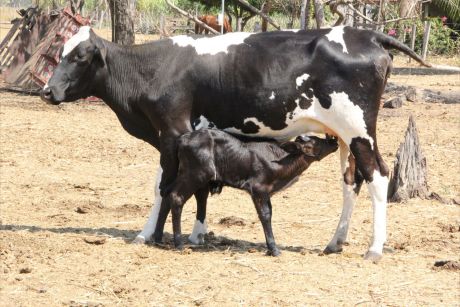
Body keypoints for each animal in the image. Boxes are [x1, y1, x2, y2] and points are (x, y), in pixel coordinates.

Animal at [41, 25, 430, 260]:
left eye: (79, 56)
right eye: (60, 52)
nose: (47, 91)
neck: (149, 69)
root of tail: (366, 34)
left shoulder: (171, 132)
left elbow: (163, 187)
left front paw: (149, 234)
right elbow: (197, 189)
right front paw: (196, 234)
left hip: (359, 130)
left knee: (378, 177)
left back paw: (374, 248)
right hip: (342, 134)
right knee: (352, 181)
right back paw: (335, 242)